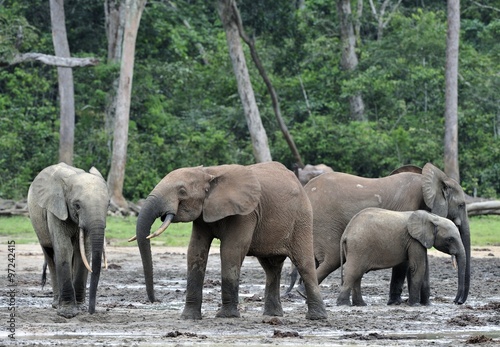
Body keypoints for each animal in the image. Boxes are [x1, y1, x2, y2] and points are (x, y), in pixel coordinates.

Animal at [27, 163, 109, 318]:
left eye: (108, 206)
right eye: (77, 205)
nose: (91, 311)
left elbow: (84, 252)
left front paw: (81, 307)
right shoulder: (56, 209)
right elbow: (64, 249)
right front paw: (67, 313)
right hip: (37, 222)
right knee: (50, 255)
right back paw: (55, 304)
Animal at [131, 162, 328, 322]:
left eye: (182, 191)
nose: (154, 300)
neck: (210, 172)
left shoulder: (246, 212)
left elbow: (231, 250)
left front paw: (226, 316)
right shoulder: (203, 213)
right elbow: (195, 251)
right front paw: (188, 318)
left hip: (302, 218)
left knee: (304, 263)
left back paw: (316, 317)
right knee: (271, 268)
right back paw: (273, 315)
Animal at [338, 208, 466, 306]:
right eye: (450, 239)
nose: (456, 302)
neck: (432, 217)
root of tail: (346, 234)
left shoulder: (420, 241)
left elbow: (424, 269)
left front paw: (427, 305)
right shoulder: (414, 240)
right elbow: (418, 267)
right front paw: (414, 305)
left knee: (357, 275)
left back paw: (361, 304)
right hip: (359, 247)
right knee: (353, 272)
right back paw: (344, 304)